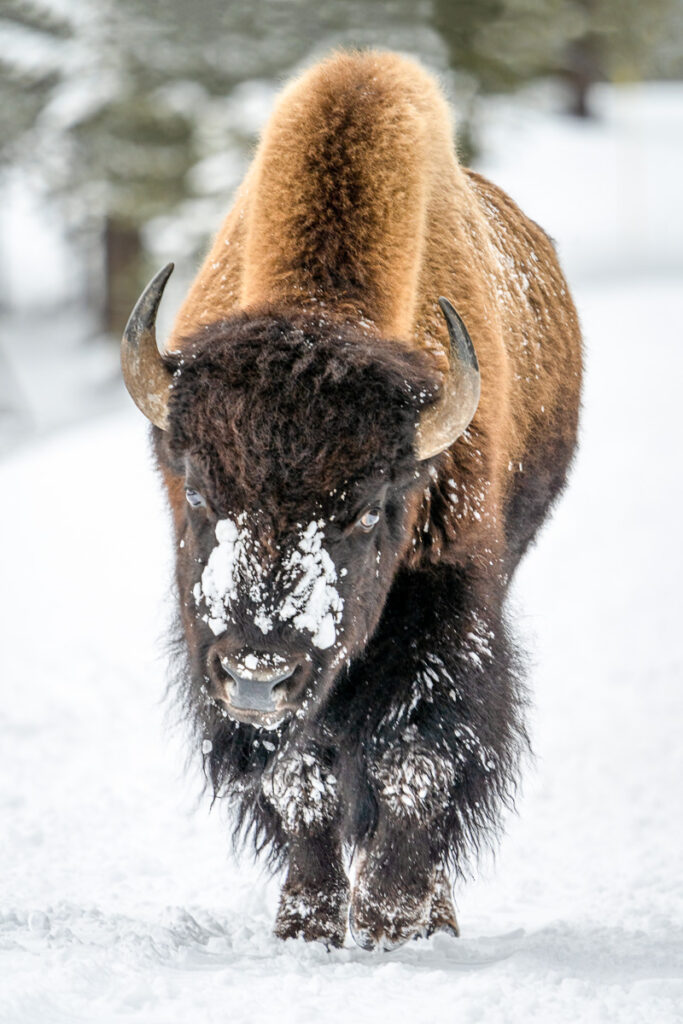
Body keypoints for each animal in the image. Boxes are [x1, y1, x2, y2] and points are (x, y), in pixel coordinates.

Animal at [121, 50, 582, 950]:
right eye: (197, 488)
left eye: (368, 509)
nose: (258, 675)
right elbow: (302, 778)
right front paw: (306, 923)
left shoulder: (451, 612)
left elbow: (416, 761)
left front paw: (394, 919)